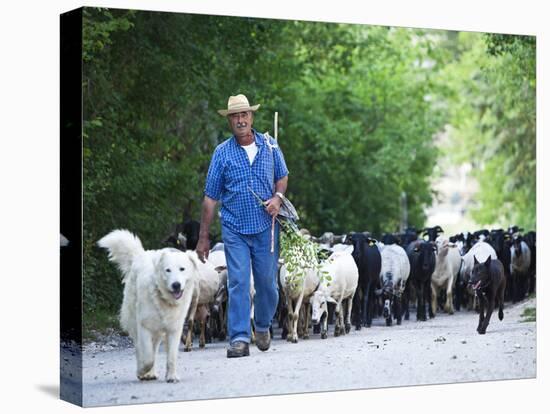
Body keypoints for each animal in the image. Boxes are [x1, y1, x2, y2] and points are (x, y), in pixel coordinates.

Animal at [98, 230, 202, 382]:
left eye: (182, 269)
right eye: (168, 270)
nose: (176, 285)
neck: (163, 298)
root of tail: (140, 255)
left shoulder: (174, 329)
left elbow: (171, 356)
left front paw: (171, 376)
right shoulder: (144, 326)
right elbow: (147, 357)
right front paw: (142, 371)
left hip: (157, 330)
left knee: (154, 346)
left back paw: (151, 373)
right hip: (135, 321)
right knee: (140, 348)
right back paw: (146, 373)